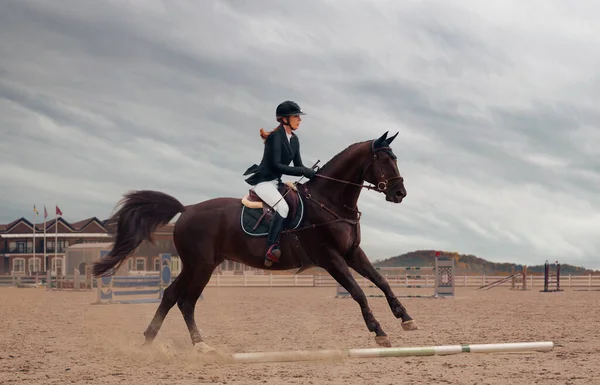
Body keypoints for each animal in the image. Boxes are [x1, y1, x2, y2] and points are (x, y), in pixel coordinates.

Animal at [92, 130, 418, 352]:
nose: (400, 193)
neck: (330, 201)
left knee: (172, 295)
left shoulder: (352, 253)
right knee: (186, 300)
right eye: (384, 159)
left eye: (395, 158)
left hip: (199, 264)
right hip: (201, 265)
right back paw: (200, 345)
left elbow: (381, 282)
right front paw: (379, 332)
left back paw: (150, 339)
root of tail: (186, 209)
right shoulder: (330, 258)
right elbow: (358, 292)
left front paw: (405, 318)